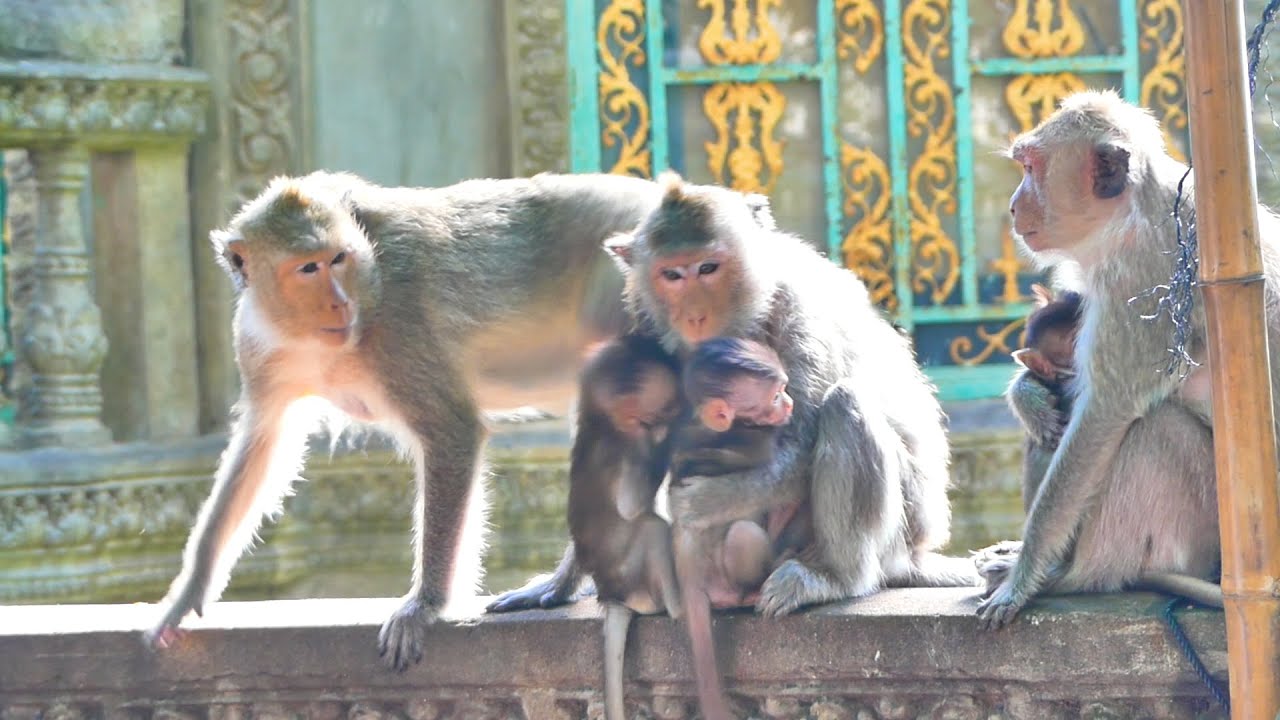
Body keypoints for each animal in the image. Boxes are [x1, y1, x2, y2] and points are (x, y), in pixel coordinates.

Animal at [143, 170, 670, 671]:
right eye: (308, 268)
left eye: (338, 259)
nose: (339, 302)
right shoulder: (257, 347)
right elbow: (262, 447)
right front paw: (187, 594)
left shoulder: (401, 330)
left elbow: (452, 431)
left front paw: (425, 605)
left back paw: (570, 581)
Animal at [493, 172, 979, 622]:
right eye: (673, 275)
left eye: (708, 268)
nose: (694, 314)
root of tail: (914, 552)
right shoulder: (639, 322)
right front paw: (560, 581)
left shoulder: (800, 312)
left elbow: (797, 451)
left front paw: (701, 502)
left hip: (897, 529)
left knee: (845, 406)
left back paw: (833, 577)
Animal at [566, 333, 685, 720]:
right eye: (668, 406)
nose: (676, 414)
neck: (601, 422)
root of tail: (614, 597)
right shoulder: (625, 449)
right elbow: (630, 505)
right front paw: (670, 436)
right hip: (637, 583)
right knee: (651, 528)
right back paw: (679, 608)